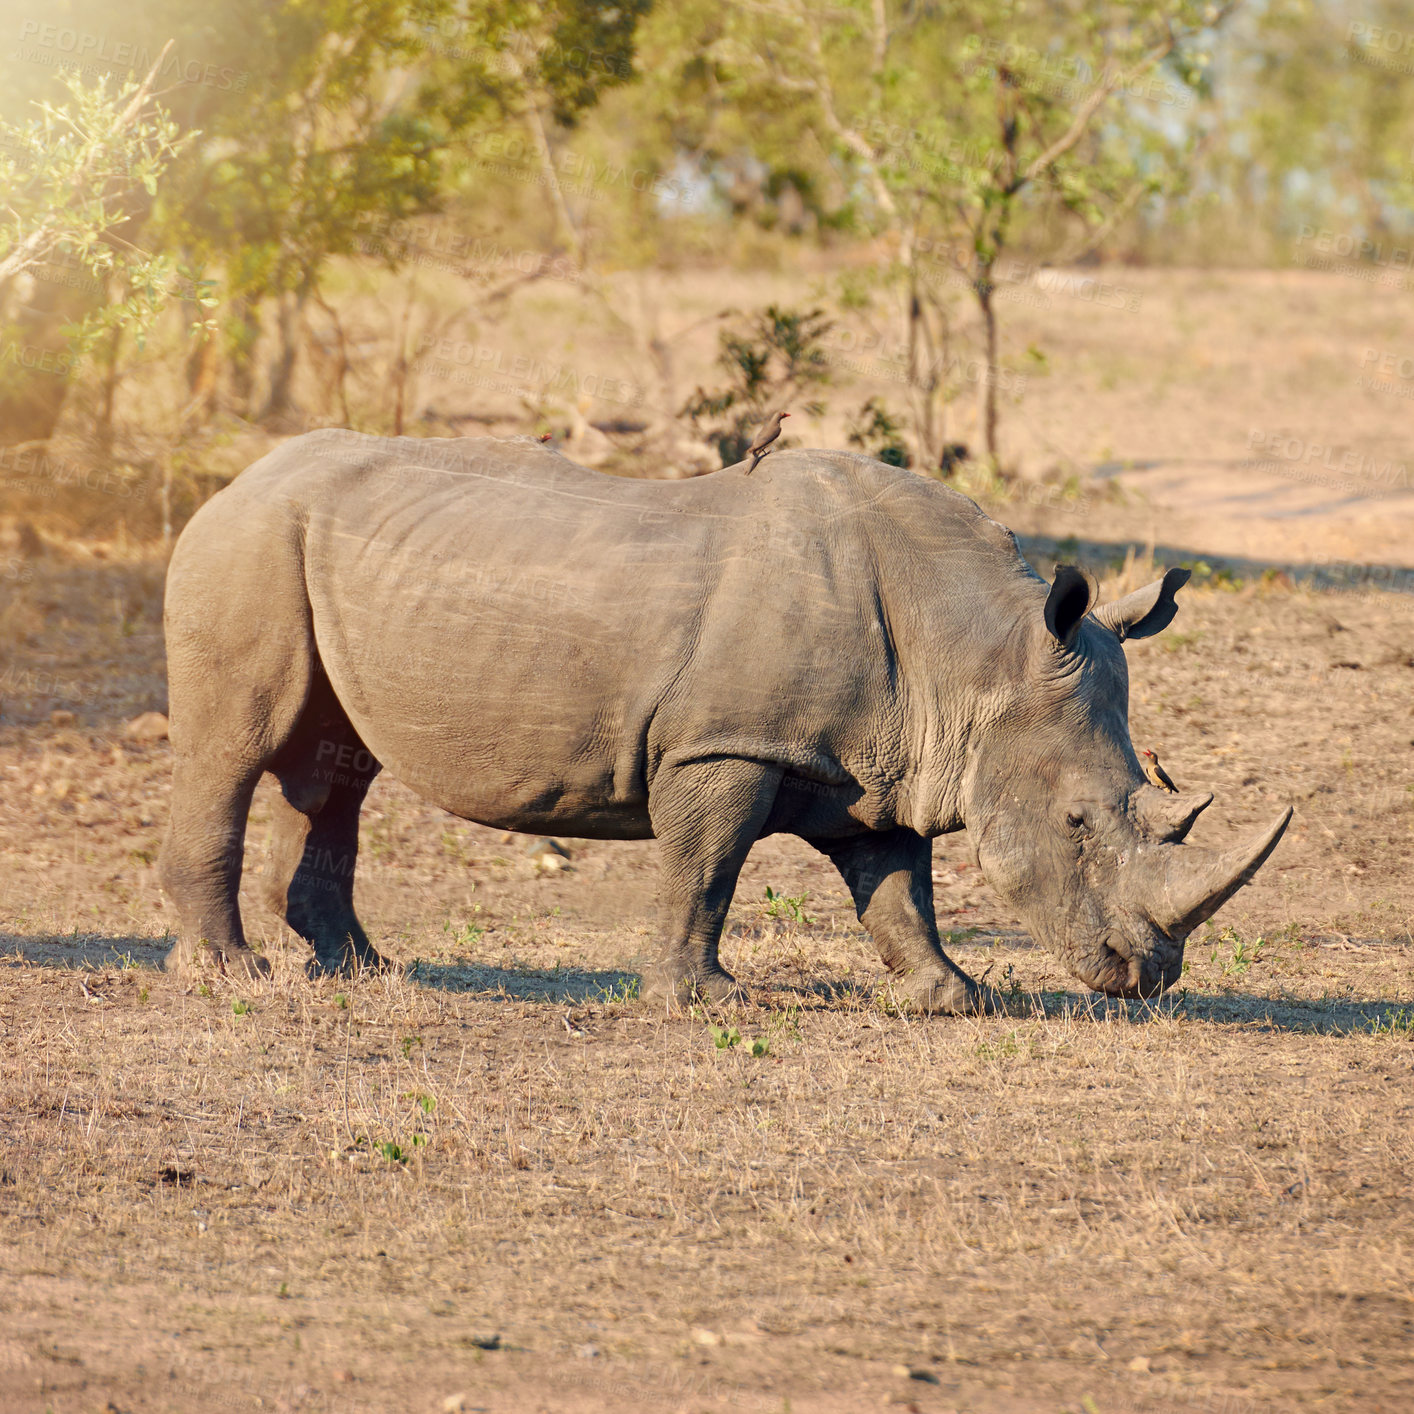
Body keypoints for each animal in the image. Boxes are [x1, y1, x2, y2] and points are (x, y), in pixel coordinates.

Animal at [160, 429, 1289, 1006]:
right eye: (1077, 825)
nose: (1148, 978)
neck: (976, 652)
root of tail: (234, 478)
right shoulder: (727, 744)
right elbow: (707, 868)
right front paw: (703, 1000)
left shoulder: (885, 760)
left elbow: (898, 886)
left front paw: (951, 996)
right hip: (245, 544)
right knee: (236, 747)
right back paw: (232, 975)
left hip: (312, 552)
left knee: (335, 770)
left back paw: (362, 969)